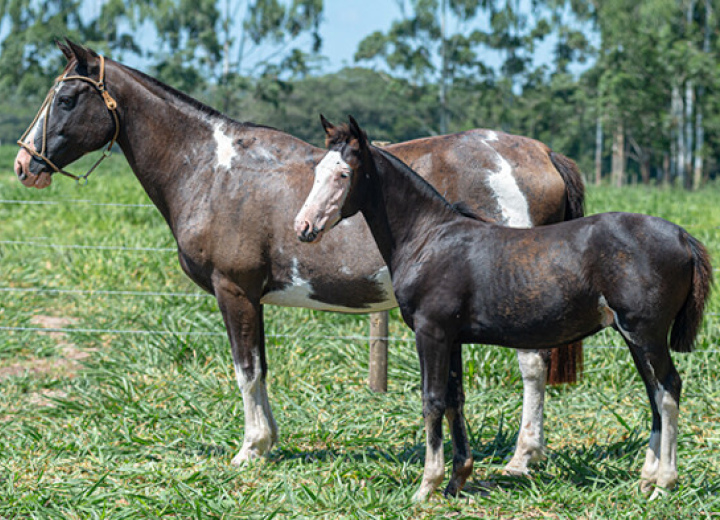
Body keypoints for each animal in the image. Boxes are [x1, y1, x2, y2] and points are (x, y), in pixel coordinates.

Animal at [14, 40, 584, 476]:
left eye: (67, 98)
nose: (23, 164)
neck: (211, 170)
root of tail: (540, 153)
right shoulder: (253, 297)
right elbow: (261, 368)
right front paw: (267, 442)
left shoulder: (234, 290)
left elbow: (245, 369)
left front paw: (250, 450)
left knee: (533, 366)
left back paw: (522, 458)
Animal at [294, 117, 716, 500]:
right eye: (317, 171)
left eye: (344, 173)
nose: (303, 227)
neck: (430, 237)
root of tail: (682, 236)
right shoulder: (453, 338)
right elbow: (455, 400)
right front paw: (456, 480)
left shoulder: (431, 332)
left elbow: (432, 400)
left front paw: (427, 486)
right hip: (634, 337)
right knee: (655, 393)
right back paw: (645, 480)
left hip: (646, 334)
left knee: (668, 390)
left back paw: (663, 484)